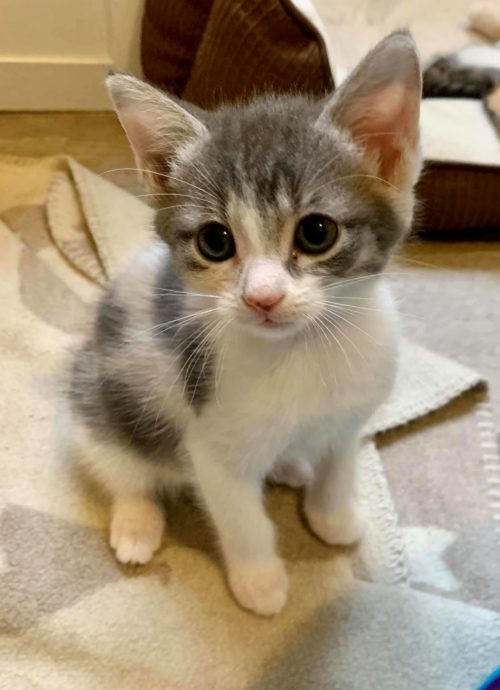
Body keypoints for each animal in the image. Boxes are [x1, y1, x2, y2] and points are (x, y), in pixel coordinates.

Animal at [69, 30, 422, 612]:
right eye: (215, 241)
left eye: (317, 233)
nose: (262, 298)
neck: (305, 352)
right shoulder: (212, 447)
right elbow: (241, 518)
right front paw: (259, 582)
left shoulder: (350, 418)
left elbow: (339, 467)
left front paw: (333, 516)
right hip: (100, 400)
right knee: (121, 467)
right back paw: (137, 524)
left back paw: (289, 465)